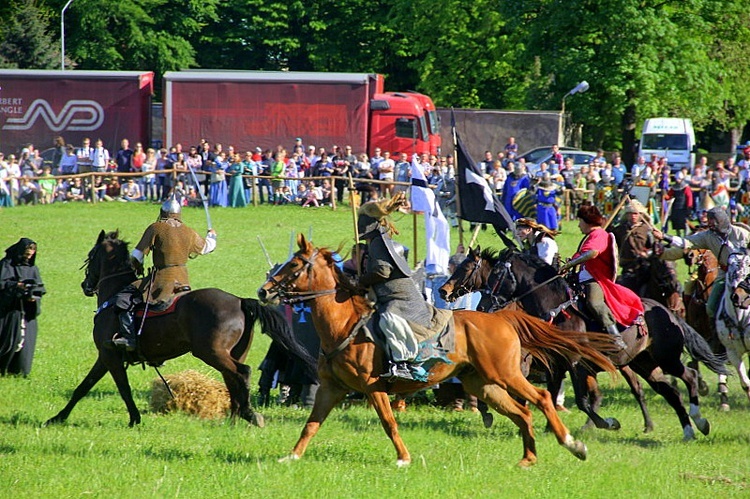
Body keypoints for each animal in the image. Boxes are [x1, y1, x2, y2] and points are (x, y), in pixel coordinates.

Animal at [46, 231, 318, 430]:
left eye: (91, 255)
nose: (85, 285)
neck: (114, 294)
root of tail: (240, 301)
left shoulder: (109, 355)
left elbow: (117, 388)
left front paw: (134, 418)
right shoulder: (106, 357)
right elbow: (85, 387)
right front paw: (58, 417)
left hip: (210, 352)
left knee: (242, 373)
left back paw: (250, 415)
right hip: (230, 352)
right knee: (233, 378)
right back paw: (234, 418)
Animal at [258, 234, 624, 468]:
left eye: (295, 265)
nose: (263, 291)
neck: (345, 325)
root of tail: (502, 317)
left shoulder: (374, 389)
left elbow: (389, 423)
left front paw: (403, 458)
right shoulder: (332, 389)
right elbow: (311, 424)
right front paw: (291, 456)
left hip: (506, 375)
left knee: (543, 399)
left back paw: (573, 444)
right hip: (484, 384)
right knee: (522, 413)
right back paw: (528, 458)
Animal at [446, 248, 728, 440]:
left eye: (497, 274)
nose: (483, 306)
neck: (554, 310)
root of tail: (668, 313)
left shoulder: (575, 364)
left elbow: (582, 401)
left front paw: (608, 423)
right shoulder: (556, 366)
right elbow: (551, 395)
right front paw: (550, 427)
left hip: (666, 358)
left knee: (688, 376)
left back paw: (698, 420)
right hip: (644, 364)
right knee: (670, 392)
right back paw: (688, 430)